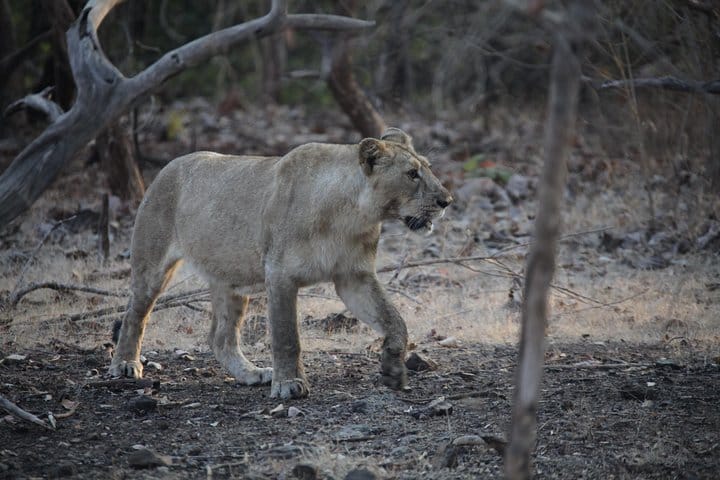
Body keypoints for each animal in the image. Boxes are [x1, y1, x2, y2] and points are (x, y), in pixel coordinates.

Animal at [109, 127, 453, 399]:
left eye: (428, 168)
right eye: (412, 174)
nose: (446, 201)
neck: (352, 215)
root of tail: (168, 166)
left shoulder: (354, 277)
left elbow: (394, 320)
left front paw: (393, 369)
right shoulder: (280, 275)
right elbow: (287, 337)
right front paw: (289, 385)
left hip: (231, 279)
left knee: (221, 337)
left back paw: (251, 374)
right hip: (152, 264)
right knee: (134, 315)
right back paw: (125, 364)